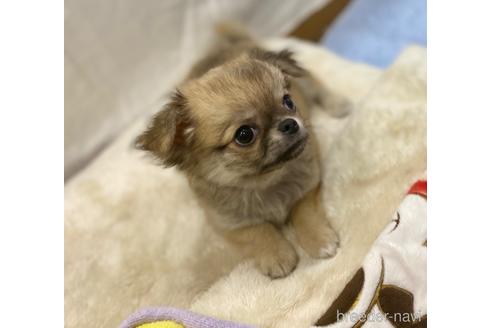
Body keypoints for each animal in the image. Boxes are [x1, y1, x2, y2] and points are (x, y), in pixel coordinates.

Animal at [136, 25, 340, 278]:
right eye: (244, 135)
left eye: (288, 102)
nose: (290, 123)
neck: (263, 184)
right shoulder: (227, 223)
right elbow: (258, 231)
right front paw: (277, 255)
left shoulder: (309, 185)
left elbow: (303, 212)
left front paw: (319, 240)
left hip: (304, 82)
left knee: (314, 83)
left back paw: (339, 104)